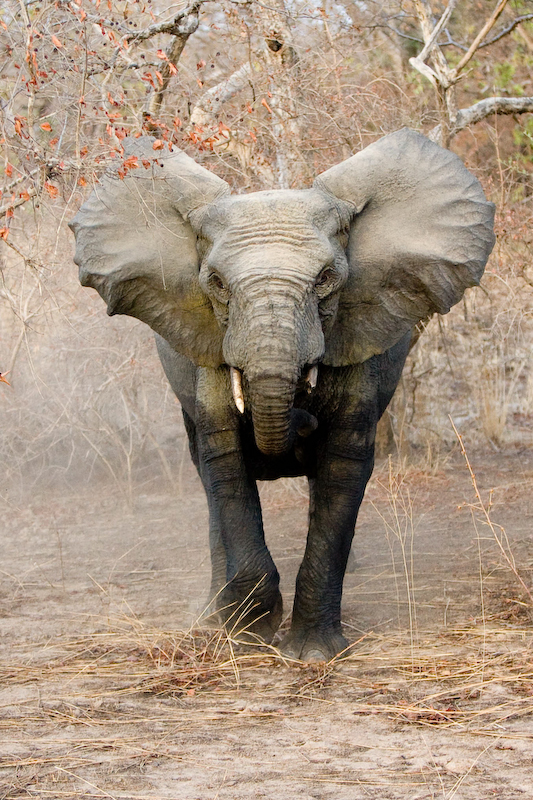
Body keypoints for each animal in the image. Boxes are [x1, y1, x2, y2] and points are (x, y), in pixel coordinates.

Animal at [70, 128, 495, 662]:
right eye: (216, 283)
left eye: (327, 278)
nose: (301, 415)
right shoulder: (212, 348)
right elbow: (224, 462)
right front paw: (247, 635)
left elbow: (344, 465)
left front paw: (312, 653)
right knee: (204, 472)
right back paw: (213, 617)